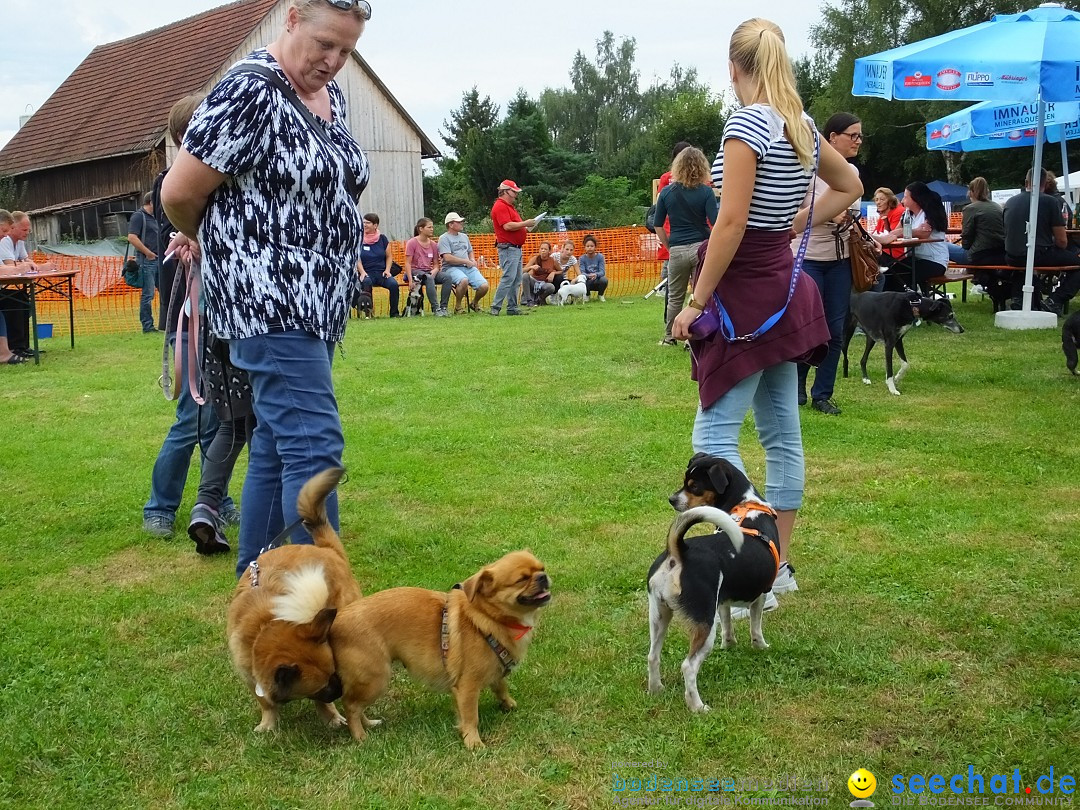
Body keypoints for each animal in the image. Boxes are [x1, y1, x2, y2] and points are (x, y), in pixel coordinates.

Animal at [226, 466, 362, 734]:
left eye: (334, 673)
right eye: (324, 685)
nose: (341, 690)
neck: (264, 627)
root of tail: (327, 549)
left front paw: (330, 717)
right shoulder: (250, 675)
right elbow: (265, 701)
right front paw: (268, 724)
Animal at [330, 548, 552, 751]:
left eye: (542, 568)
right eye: (521, 579)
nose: (543, 577)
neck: (487, 616)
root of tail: (336, 620)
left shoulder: (495, 669)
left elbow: (501, 686)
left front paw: (507, 704)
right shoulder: (468, 687)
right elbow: (471, 716)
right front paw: (472, 741)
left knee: (356, 705)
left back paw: (368, 724)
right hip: (376, 678)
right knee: (351, 706)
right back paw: (360, 735)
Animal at [643, 457, 781, 717]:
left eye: (694, 486)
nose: (672, 499)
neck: (746, 505)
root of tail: (679, 552)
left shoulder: (723, 600)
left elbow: (728, 625)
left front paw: (729, 645)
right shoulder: (760, 595)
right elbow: (756, 627)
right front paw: (761, 647)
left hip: (659, 615)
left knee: (653, 656)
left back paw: (656, 689)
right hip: (704, 623)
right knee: (688, 666)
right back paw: (697, 706)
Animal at [838, 291, 967, 397]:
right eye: (950, 316)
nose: (962, 330)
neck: (912, 305)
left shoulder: (898, 340)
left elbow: (905, 364)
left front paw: (897, 378)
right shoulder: (889, 343)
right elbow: (889, 369)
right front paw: (892, 389)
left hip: (871, 338)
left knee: (863, 359)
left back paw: (865, 379)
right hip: (846, 334)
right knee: (845, 355)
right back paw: (845, 375)